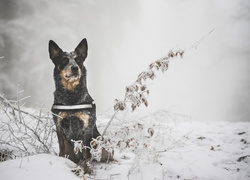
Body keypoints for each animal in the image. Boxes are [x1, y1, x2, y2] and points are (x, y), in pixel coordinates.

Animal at [48, 38, 111, 167]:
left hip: (100, 142)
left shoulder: (87, 127)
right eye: (64, 60)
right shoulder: (59, 127)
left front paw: (88, 170)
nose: (74, 67)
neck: (70, 97)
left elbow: (87, 155)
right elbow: (62, 151)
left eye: (78, 60)